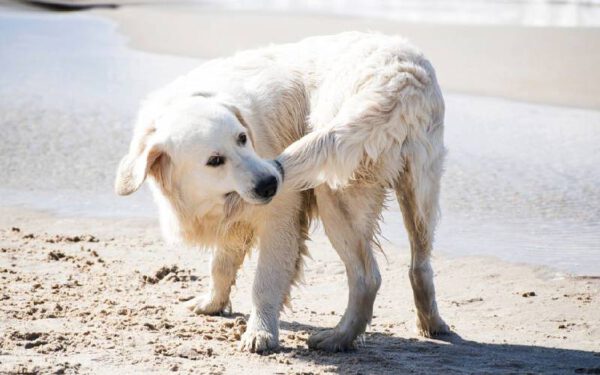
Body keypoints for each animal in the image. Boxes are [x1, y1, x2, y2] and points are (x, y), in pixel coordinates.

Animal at [115, 30, 448, 354]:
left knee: (367, 277)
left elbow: (265, 281)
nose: (270, 183)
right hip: (420, 193)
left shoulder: (280, 217)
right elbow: (220, 265)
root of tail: (401, 77)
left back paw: (337, 338)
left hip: (335, 192)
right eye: (214, 160)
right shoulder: (234, 221)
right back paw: (431, 325)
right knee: (420, 266)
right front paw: (212, 303)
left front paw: (260, 332)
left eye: (242, 138)